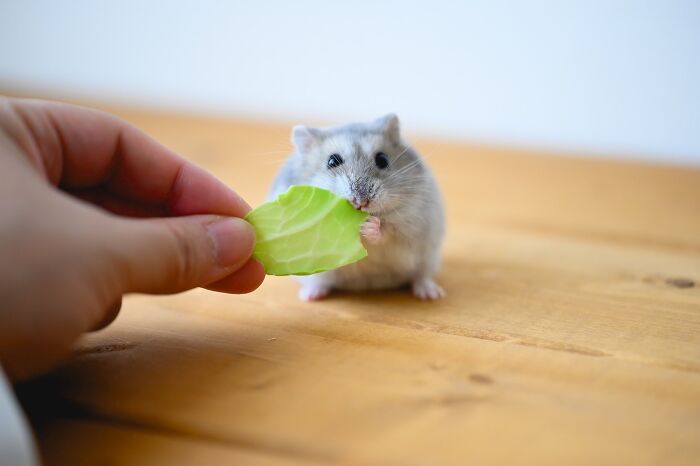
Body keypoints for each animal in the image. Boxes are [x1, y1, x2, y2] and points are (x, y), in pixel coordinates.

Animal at [268, 114, 445, 301]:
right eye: (332, 161)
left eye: (382, 160)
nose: (361, 202)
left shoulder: (408, 225)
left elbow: (386, 232)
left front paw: (368, 226)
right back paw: (309, 296)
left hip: (428, 258)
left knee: (421, 276)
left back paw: (431, 294)